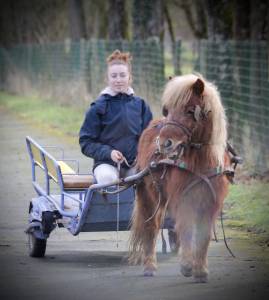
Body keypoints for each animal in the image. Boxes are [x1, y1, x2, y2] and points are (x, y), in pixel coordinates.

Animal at [129, 74, 229, 282]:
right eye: (167, 109)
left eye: (190, 111)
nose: (164, 143)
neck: (200, 162)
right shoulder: (184, 200)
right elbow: (186, 228)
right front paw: (187, 265)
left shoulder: (210, 202)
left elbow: (203, 235)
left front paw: (201, 270)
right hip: (150, 198)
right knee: (151, 227)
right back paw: (149, 266)